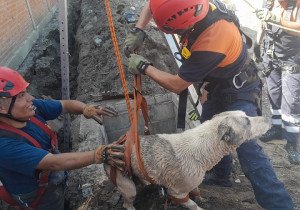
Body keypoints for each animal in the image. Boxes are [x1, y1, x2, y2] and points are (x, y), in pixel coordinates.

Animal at [104, 110, 270, 209]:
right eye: (247, 121)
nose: (268, 118)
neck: (204, 148)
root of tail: (108, 148)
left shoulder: (193, 182)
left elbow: (196, 192)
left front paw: (203, 200)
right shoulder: (177, 193)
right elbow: (192, 205)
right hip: (127, 187)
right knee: (127, 204)